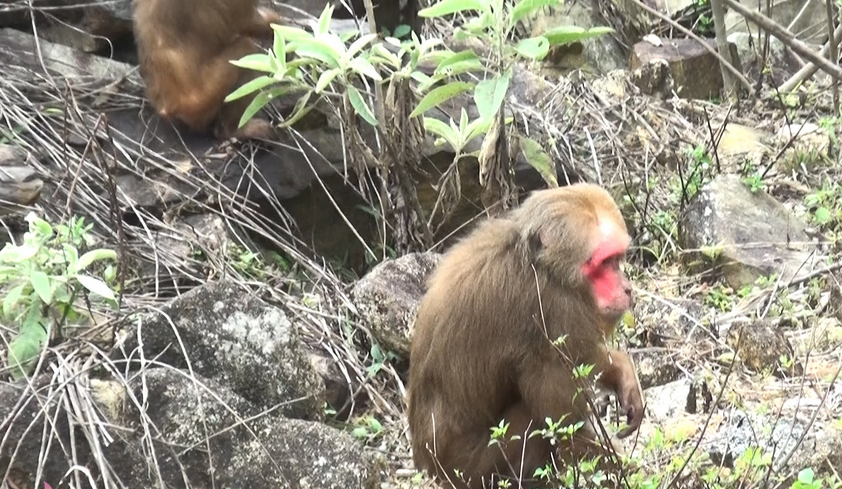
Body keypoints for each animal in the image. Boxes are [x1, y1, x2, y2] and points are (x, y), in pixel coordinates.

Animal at [406, 182, 644, 488]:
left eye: (616, 260)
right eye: (603, 264)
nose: (626, 288)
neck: (539, 265)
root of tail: (428, 467)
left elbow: (587, 360)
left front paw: (622, 372)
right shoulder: (551, 310)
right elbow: (567, 427)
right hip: (471, 470)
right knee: (529, 418)